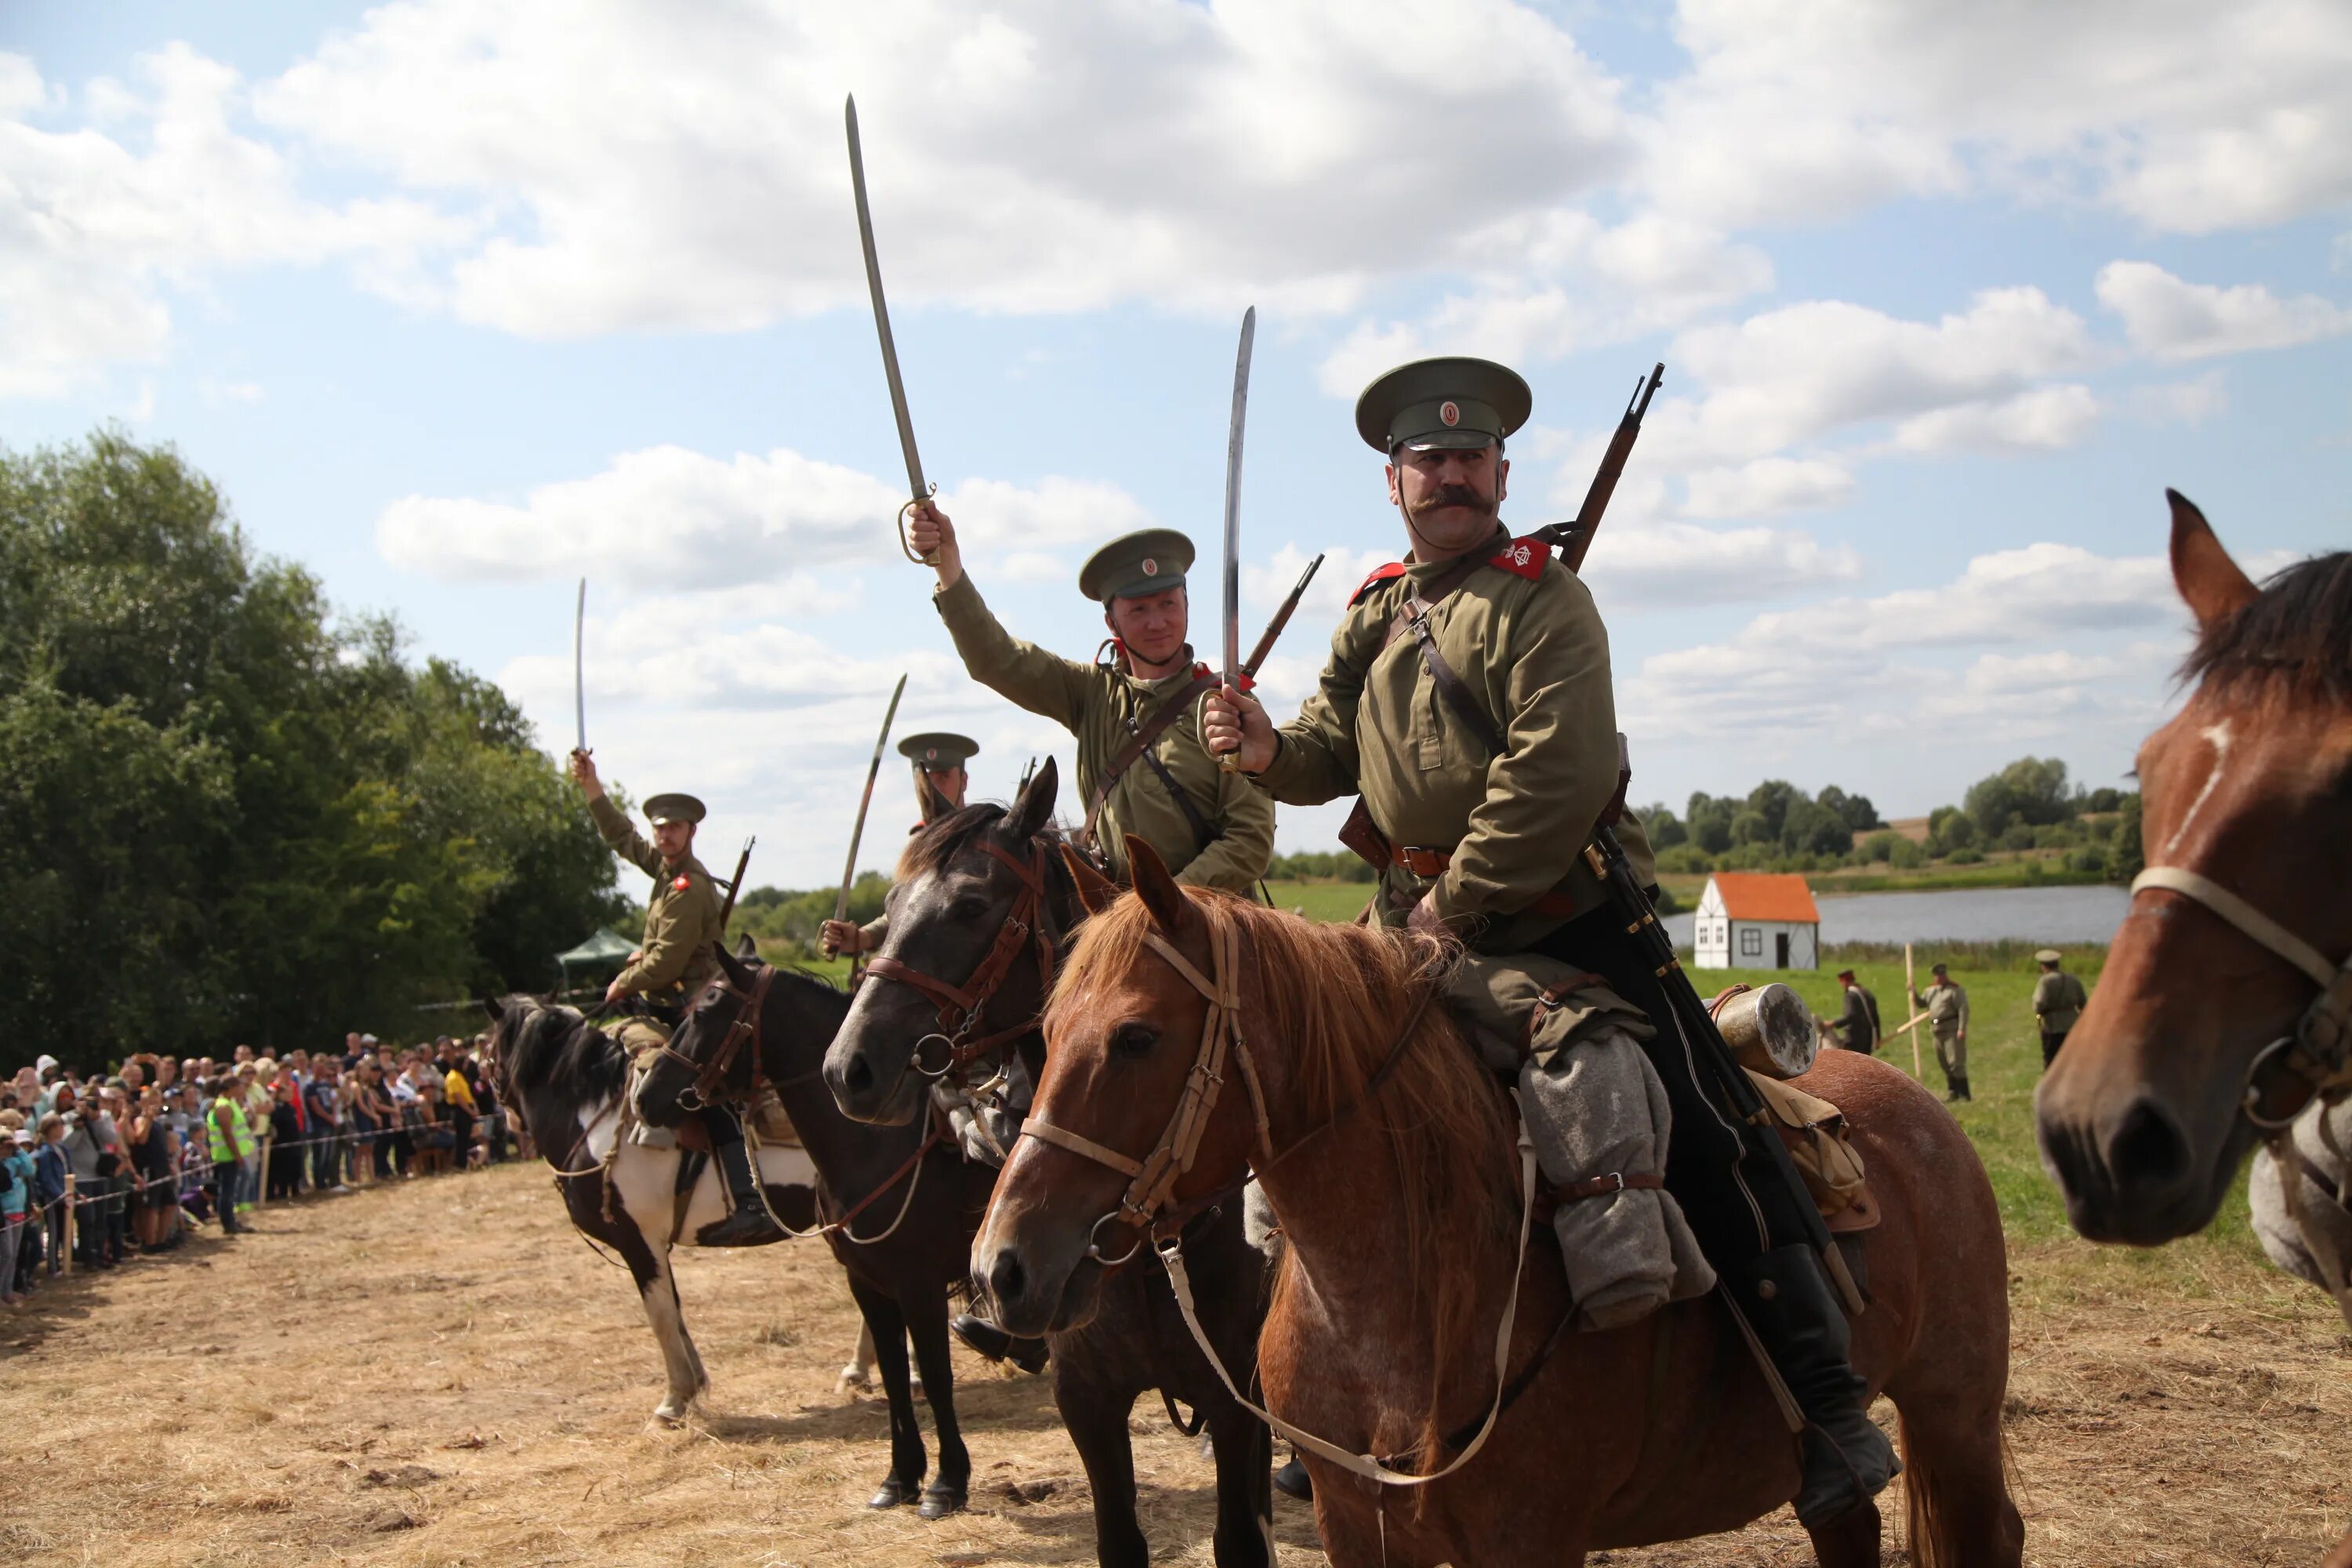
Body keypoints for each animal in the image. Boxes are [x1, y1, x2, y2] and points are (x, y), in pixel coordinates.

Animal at [974, 846, 2023, 1568]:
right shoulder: (1358, 1528)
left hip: (1956, 1416)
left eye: (1137, 1036)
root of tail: (1919, 1104)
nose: (1000, 1267)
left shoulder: (1531, 1538)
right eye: (1048, 1027)